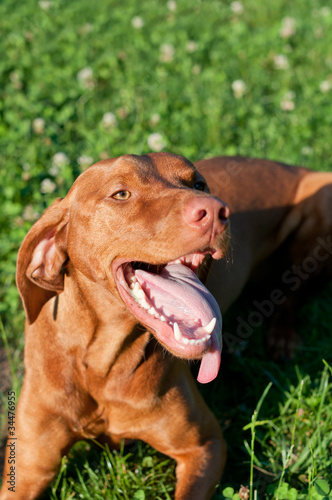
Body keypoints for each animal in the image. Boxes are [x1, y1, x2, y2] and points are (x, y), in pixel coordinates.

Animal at [1, 153, 330, 500]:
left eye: (199, 185)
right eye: (121, 194)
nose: (217, 211)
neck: (102, 364)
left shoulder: (205, 445)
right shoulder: (28, 468)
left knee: (291, 291)